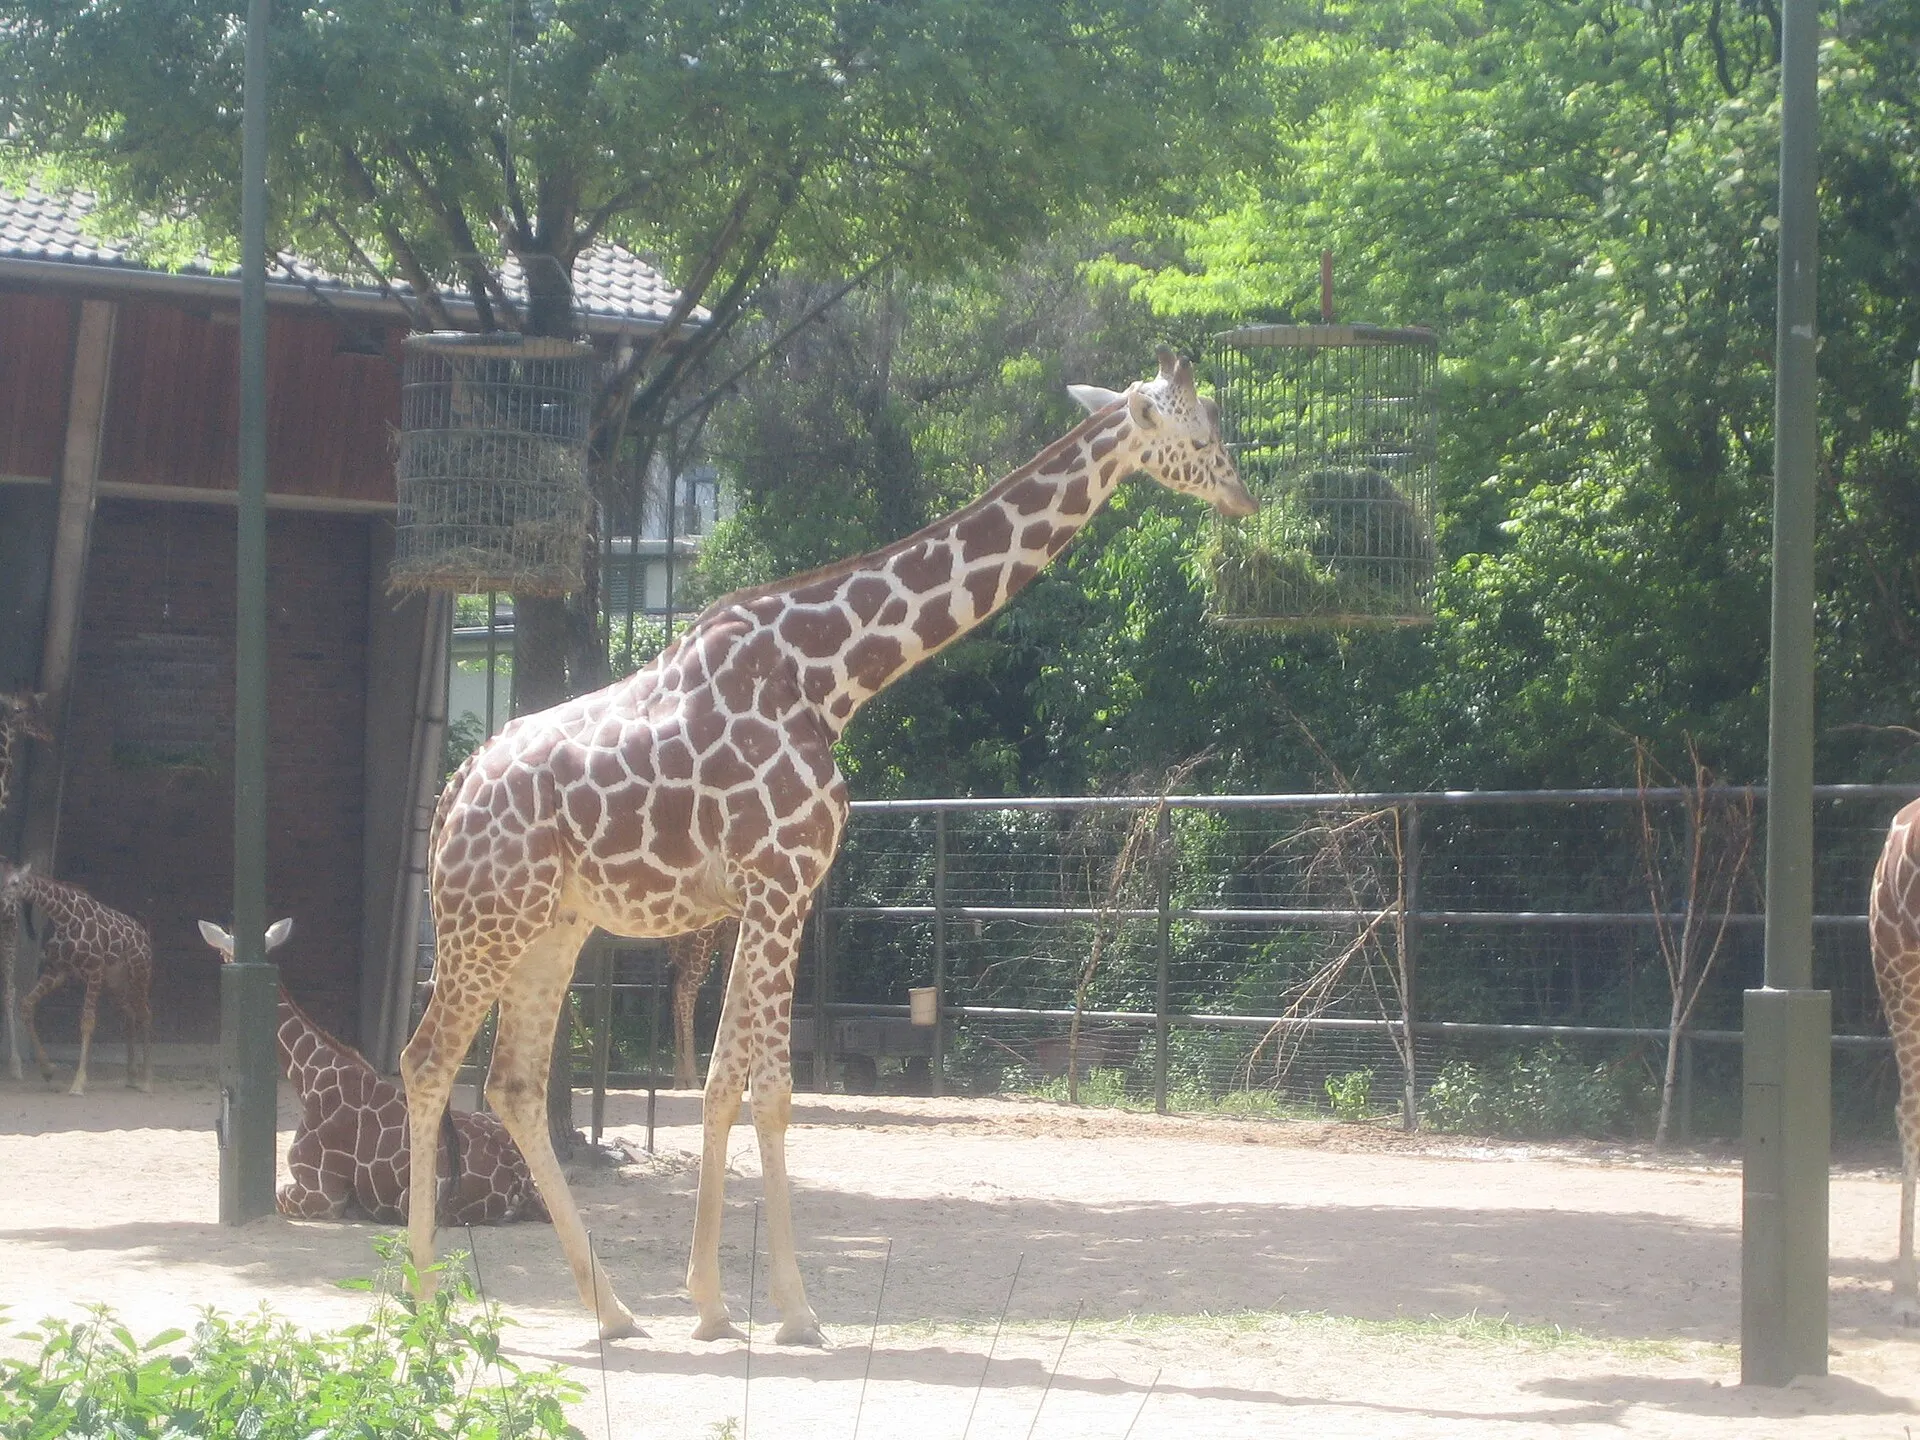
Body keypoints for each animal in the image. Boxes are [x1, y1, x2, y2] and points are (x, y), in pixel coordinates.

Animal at [1, 860, 151, 1095]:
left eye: (15, 882)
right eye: (1, 879)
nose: (2, 903)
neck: (63, 917)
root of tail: (144, 935)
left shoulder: (94, 969)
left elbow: (87, 1021)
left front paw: (78, 1083)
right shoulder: (56, 970)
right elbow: (26, 1004)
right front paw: (47, 1070)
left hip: (140, 974)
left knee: (145, 1014)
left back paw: (146, 1081)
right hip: (116, 984)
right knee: (129, 1014)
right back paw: (131, 1077)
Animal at [199, 919, 547, 1225]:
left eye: (224, 954)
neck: (309, 1075)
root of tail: (518, 1178)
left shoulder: (321, 1193)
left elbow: (277, 1197)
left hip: (413, 1200)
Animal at [668, 919, 739, 1090]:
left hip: (680, 943)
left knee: (676, 989)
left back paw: (680, 1081)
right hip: (703, 935)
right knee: (685, 987)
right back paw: (693, 1080)